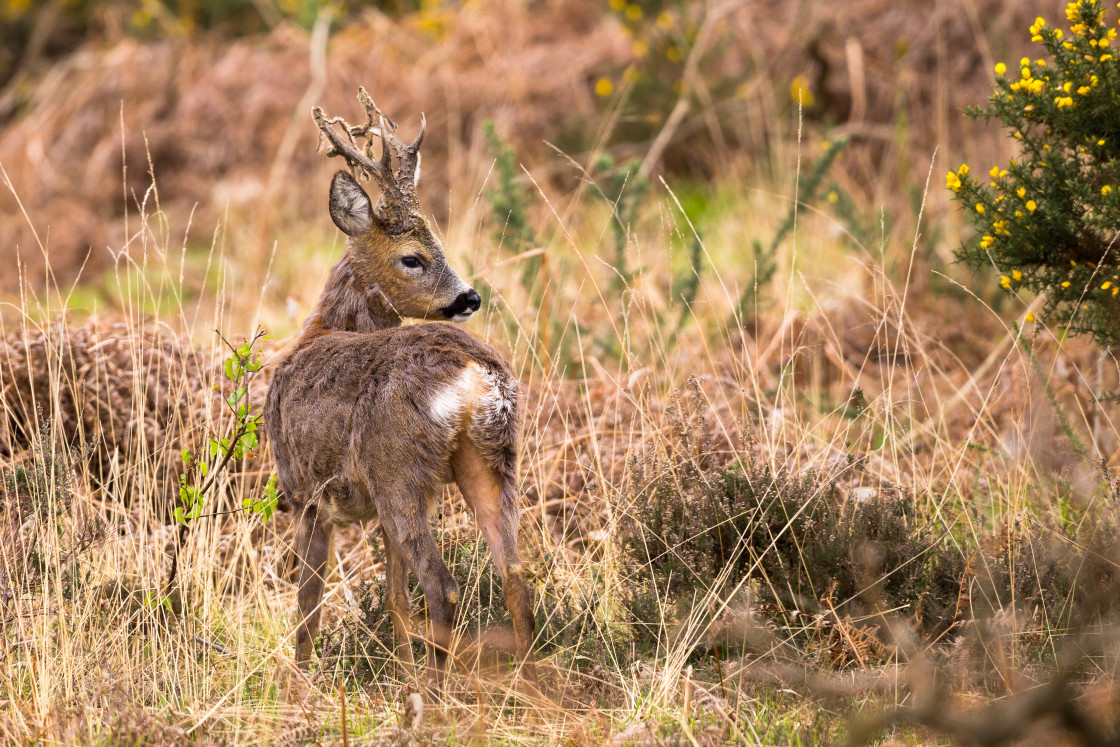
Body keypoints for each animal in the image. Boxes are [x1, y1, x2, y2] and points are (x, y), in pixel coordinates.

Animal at [266, 89, 537, 689]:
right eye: (413, 257)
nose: (470, 298)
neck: (323, 327)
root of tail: (473, 373)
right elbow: (394, 602)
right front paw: (403, 677)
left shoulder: (307, 496)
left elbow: (307, 610)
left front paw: (297, 690)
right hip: (492, 461)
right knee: (514, 573)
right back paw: (533, 685)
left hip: (400, 472)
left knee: (443, 585)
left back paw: (438, 693)